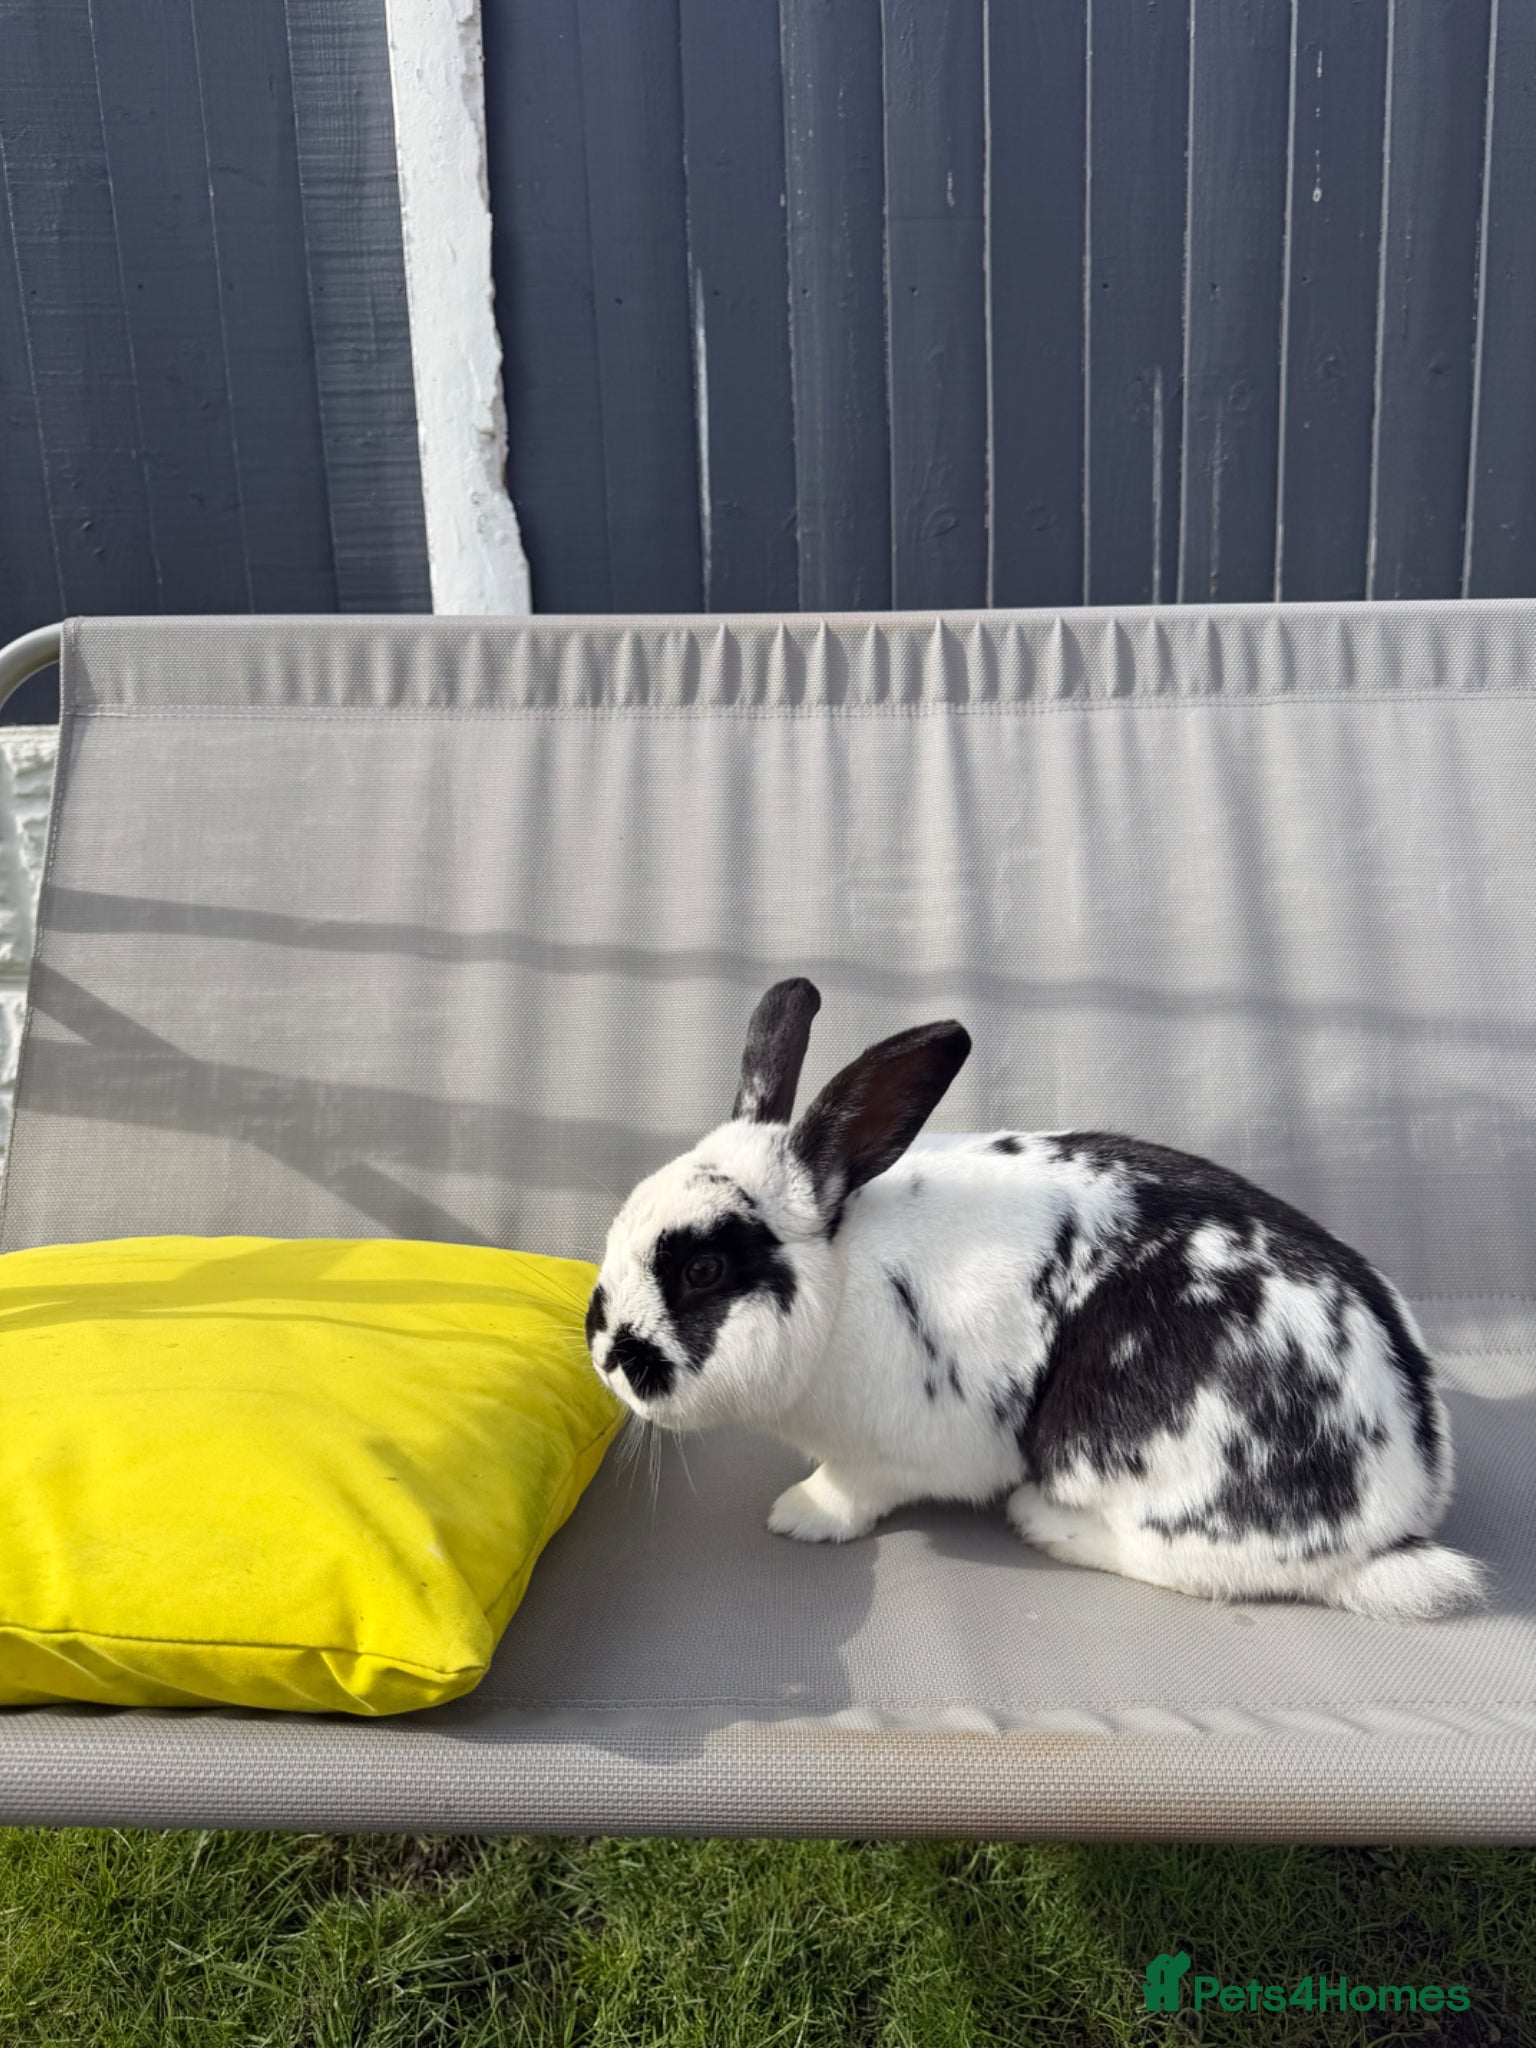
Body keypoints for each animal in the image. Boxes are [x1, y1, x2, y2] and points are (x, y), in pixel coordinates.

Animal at [585, 978, 1484, 1619]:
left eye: (703, 1271)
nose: (607, 1351)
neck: (840, 1279)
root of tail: (1397, 1516)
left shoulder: (890, 1452)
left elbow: (850, 1489)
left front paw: (799, 1515)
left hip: (1127, 1456)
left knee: (1196, 1565)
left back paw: (1042, 1519)